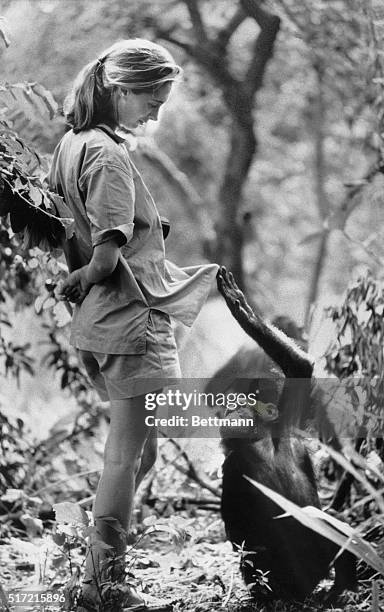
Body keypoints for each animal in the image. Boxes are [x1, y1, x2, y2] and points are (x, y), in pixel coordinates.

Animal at [216, 268, 356, 604]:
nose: (229, 410)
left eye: (238, 403)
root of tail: (308, 589)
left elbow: (299, 367)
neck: (261, 444)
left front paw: (241, 309)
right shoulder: (236, 463)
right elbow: (240, 531)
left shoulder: (283, 429)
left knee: (333, 523)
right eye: (230, 406)